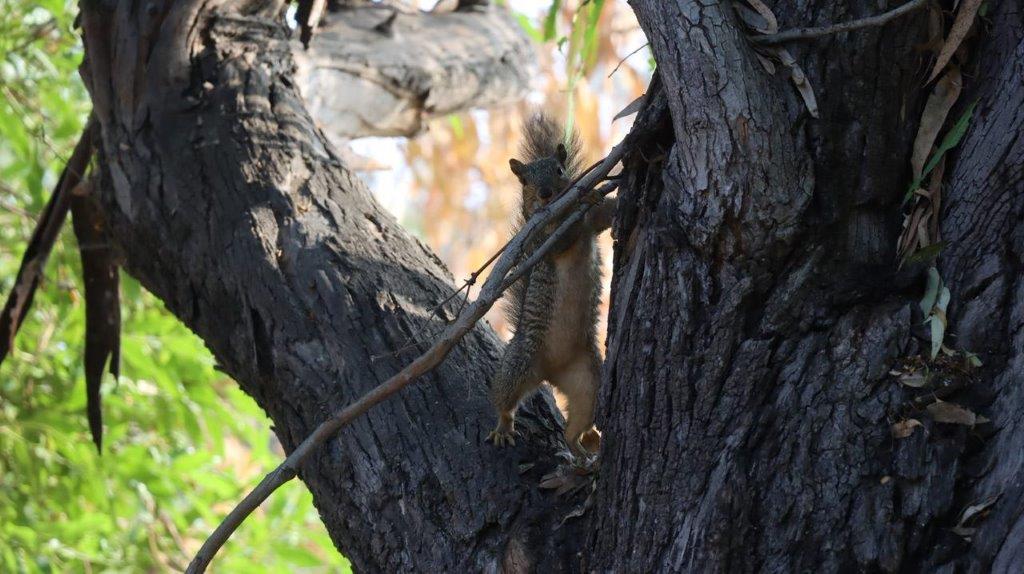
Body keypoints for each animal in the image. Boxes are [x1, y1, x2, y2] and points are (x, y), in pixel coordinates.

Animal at [487, 114, 614, 458]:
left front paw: (597, 195)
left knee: (575, 426)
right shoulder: (544, 241)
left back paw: (581, 452)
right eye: (524, 181)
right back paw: (503, 428)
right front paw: (583, 198)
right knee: (504, 399)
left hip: (588, 380)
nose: (545, 194)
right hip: (519, 362)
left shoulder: (593, 226)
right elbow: (561, 240)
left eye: (559, 170)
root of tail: (549, 374)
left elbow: (602, 219)